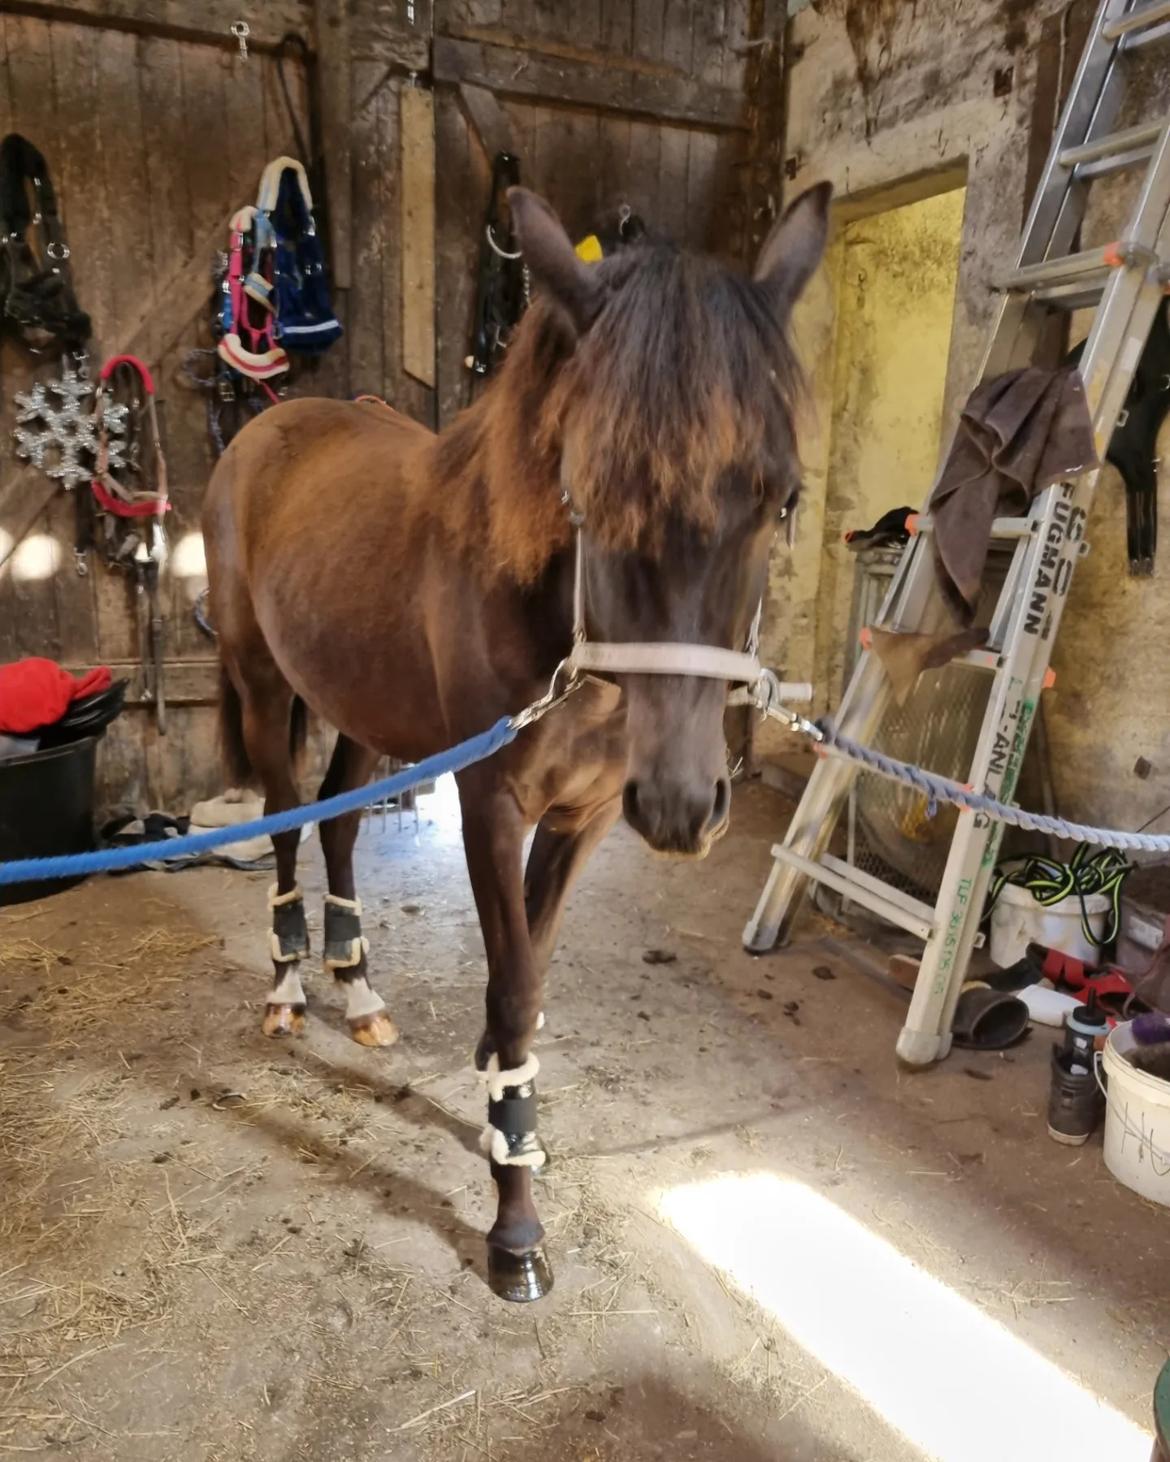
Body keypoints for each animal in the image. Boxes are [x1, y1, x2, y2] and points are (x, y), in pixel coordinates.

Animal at [201, 182, 831, 1301]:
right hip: (266, 685)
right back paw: (287, 989)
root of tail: (269, 427)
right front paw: (516, 1225)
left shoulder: (584, 817)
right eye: (590, 486)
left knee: (339, 830)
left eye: (782, 496)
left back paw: (359, 991)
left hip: (363, 707)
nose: (685, 804)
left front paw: (504, 1119)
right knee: (283, 823)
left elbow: (525, 982)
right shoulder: (491, 806)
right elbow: (515, 980)